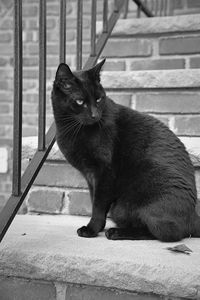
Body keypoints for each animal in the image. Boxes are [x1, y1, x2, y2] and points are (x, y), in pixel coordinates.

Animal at [51, 58, 200, 241]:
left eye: (99, 99)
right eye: (80, 102)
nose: (95, 115)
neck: (72, 129)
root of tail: (194, 216)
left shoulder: (104, 171)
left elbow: (98, 205)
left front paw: (92, 229)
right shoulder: (90, 175)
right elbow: (94, 200)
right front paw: (97, 228)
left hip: (138, 201)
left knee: (166, 232)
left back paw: (116, 232)